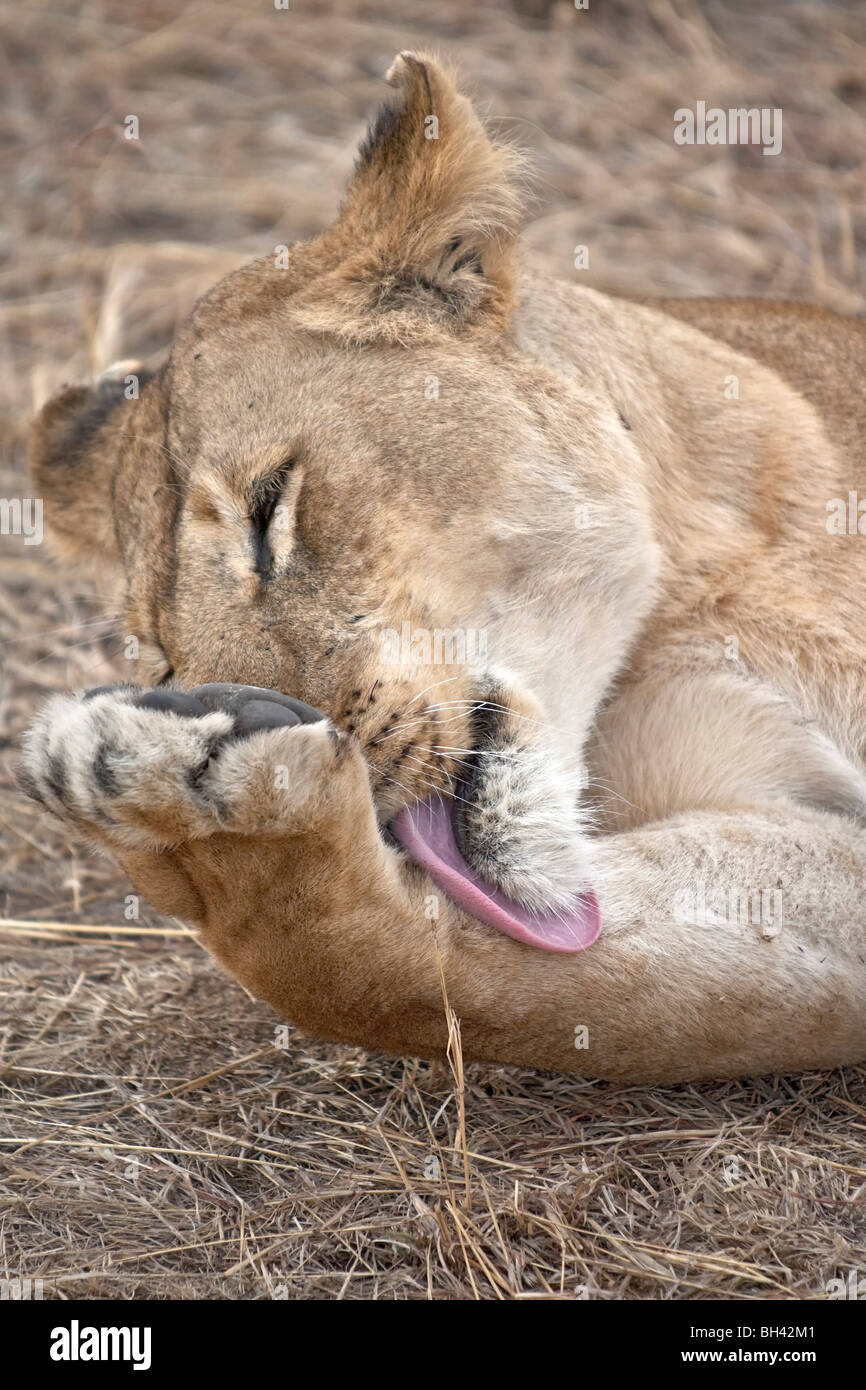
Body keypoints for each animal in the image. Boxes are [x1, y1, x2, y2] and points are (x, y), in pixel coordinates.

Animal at [19, 53, 866, 1083]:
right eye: (164, 659)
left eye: (269, 514)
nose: (223, 699)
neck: (707, 569)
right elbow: (434, 983)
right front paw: (177, 816)